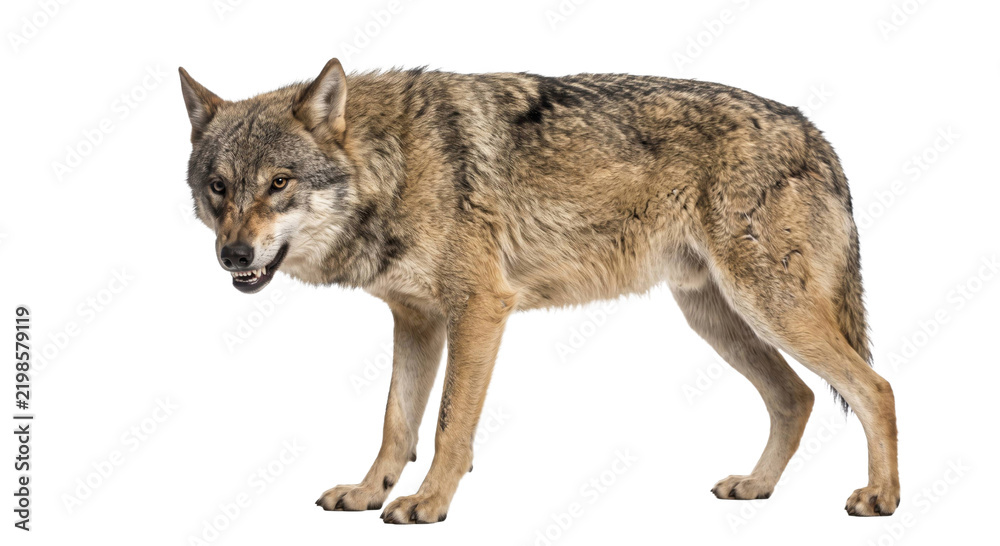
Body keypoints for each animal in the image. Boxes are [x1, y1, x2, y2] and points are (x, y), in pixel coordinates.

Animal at [178, 58, 899, 523]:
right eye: (219, 187)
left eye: (279, 183)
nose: (233, 255)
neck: (397, 164)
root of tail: (816, 134)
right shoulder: (416, 321)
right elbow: (395, 423)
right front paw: (367, 492)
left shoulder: (479, 311)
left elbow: (448, 426)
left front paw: (428, 503)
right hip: (718, 319)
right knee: (798, 397)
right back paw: (757, 487)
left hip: (769, 309)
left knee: (875, 387)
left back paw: (880, 499)